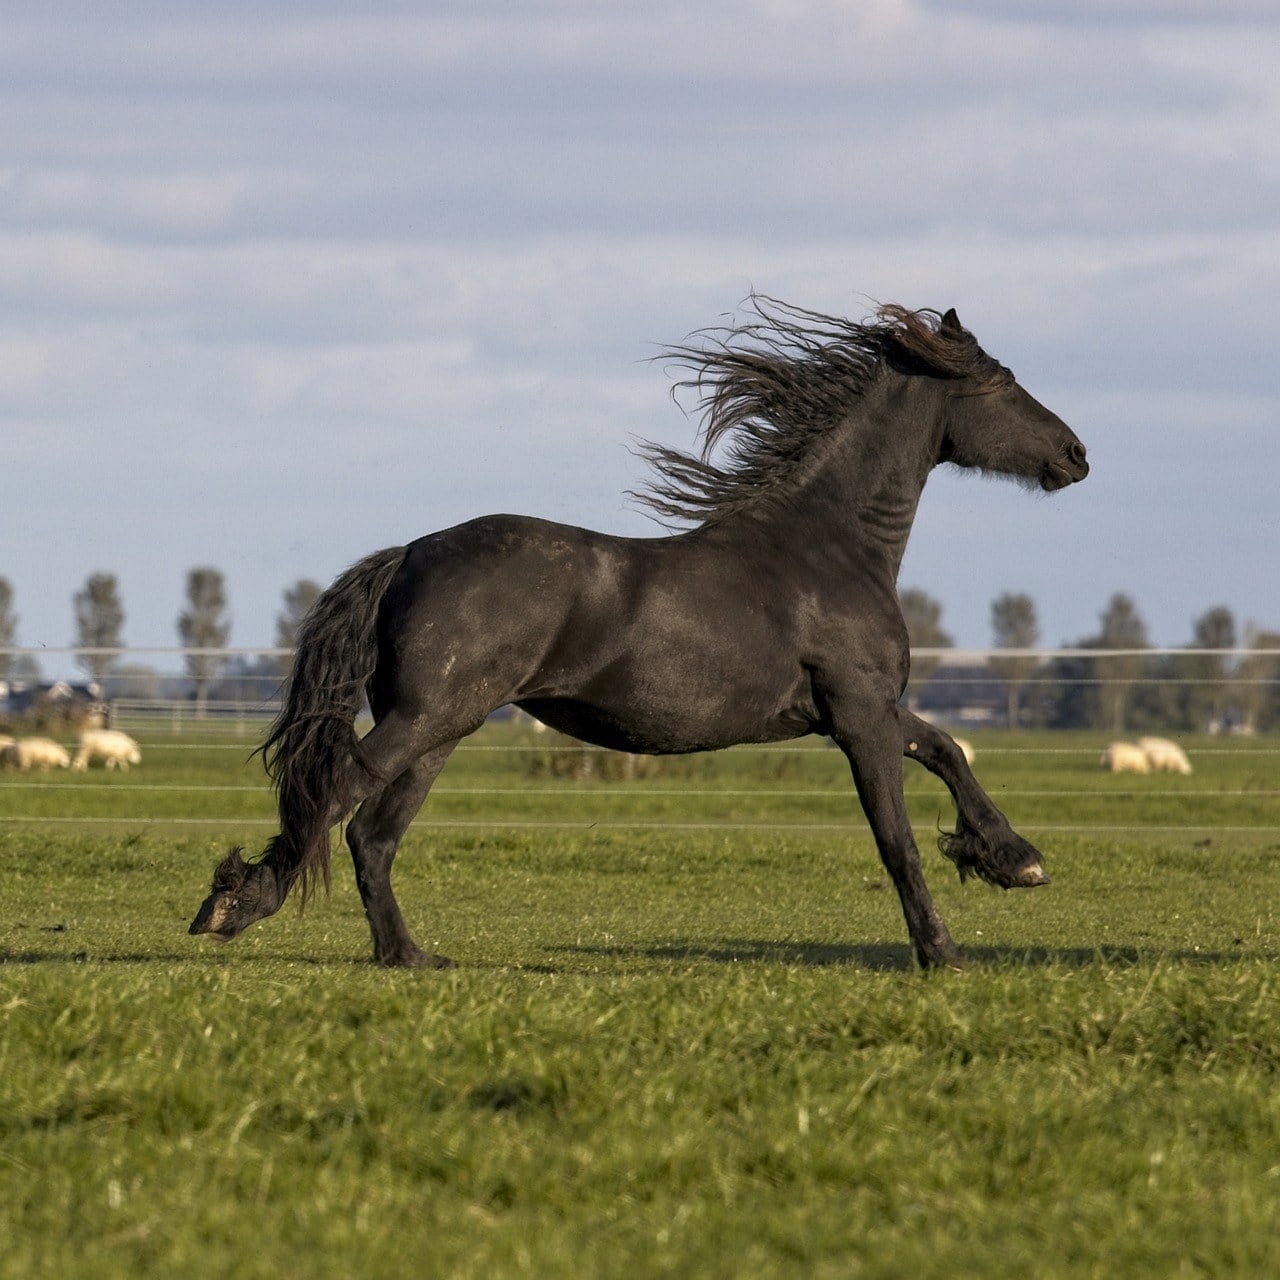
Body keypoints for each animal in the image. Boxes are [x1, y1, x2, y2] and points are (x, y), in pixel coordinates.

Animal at [189, 296, 1089, 970]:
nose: (1076, 454)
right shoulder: (859, 717)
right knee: (337, 798)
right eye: (1002, 384)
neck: (830, 544)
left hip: (440, 729)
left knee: (373, 834)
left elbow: (946, 750)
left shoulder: (858, 711)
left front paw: (1012, 858)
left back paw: (408, 956)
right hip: (425, 719)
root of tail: (410, 553)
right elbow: (897, 837)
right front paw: (944, 950)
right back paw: (233, 905)